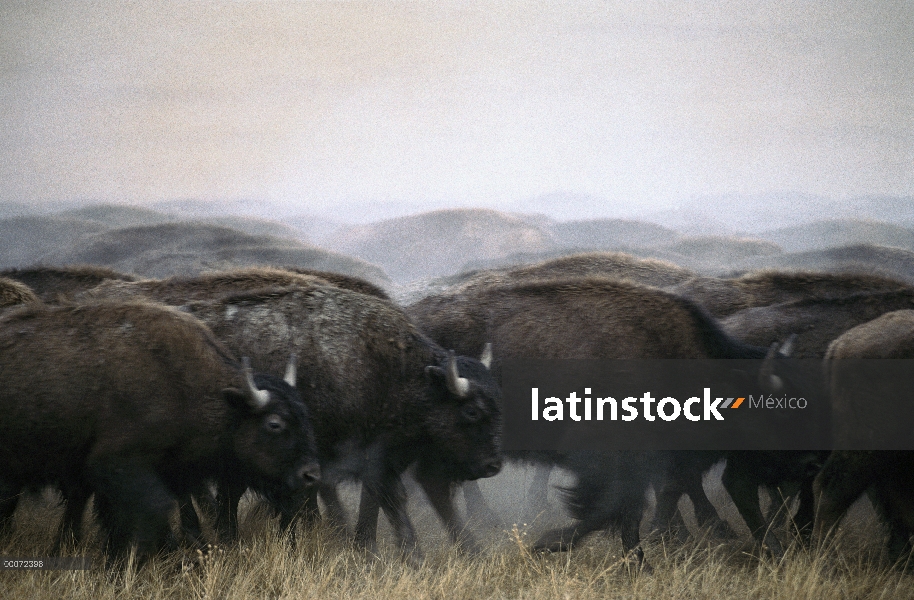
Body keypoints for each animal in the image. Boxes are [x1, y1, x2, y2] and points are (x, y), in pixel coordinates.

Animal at [0, 302, 318, 560]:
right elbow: (153, 511)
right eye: (274, 423)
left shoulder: (170, 473)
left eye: (305, 415)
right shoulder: (115, 465)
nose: (310, 475)